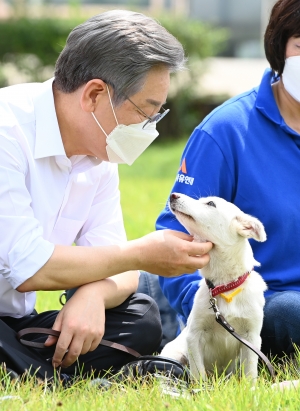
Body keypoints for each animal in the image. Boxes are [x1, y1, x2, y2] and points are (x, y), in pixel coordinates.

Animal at [162, 194, 268, 384]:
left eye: (211, 203)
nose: (173, 195)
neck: (225, 287)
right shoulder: (194, 335)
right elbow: (198, 372)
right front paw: (201, 389)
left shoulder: (252, 337)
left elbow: (250, 372)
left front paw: (250, 389)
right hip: (173, 354)